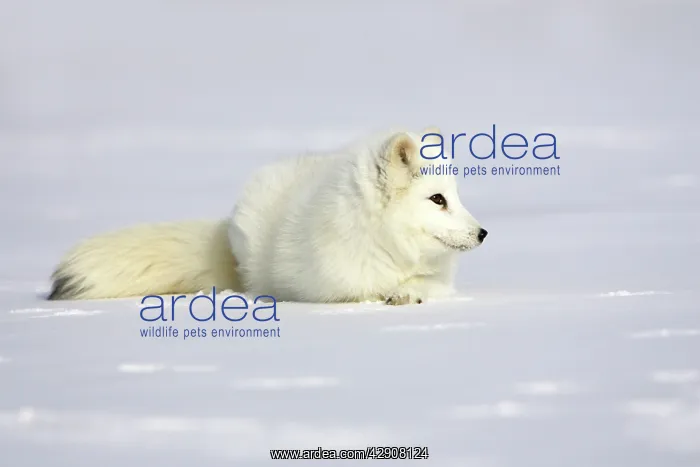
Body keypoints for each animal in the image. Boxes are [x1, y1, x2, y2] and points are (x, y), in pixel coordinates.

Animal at [48, 127, 488, 305]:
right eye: (437, 199)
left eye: (455, 196)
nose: (483, 233)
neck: (388, 247)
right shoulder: (335, 287)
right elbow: (367, 291)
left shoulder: (439, 280)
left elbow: (425, 286)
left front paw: (408, 294)